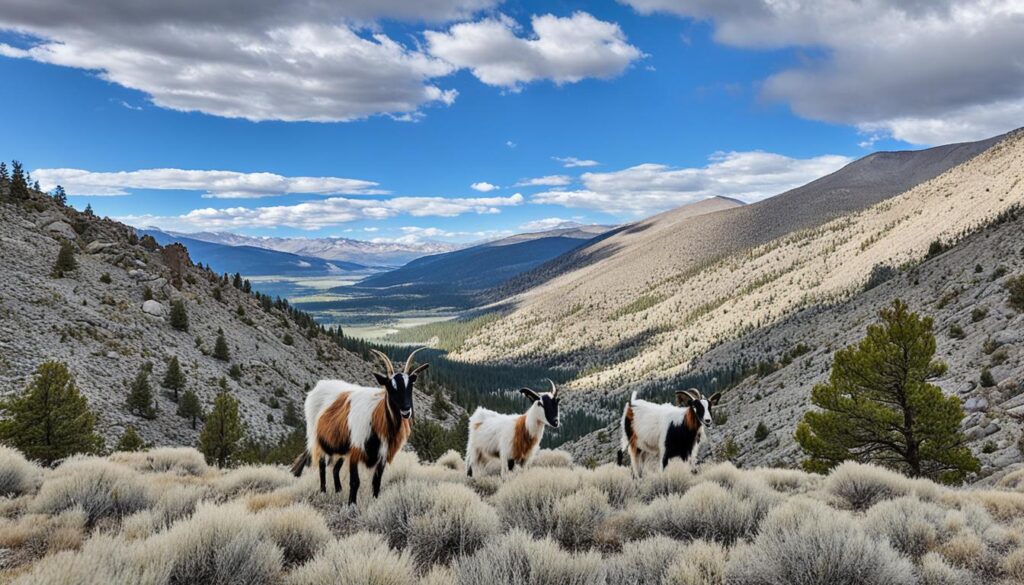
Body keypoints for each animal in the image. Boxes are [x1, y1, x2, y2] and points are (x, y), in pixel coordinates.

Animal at [291, 348, 429, 504]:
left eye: (410, 386)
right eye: (390, 387)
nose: (406, 410)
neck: (378, 419)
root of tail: (319, 387)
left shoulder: (382, 455)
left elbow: (376, 482)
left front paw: (375, 502)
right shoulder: (356, 450)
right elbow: (355, 482)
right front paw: (351, 504)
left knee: (335, 469)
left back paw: (338, 491)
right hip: (319, 440)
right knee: (322, 465)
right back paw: (323, 492)